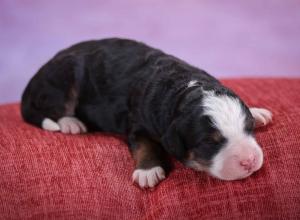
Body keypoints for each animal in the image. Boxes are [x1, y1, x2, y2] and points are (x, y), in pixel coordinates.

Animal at [22, 37, 274, 187]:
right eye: (209, 143)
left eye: (249, 128)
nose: (250, 160)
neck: (183, 87)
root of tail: (34, 79)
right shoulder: (137, 124)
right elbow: (144, 145)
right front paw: (148, 170)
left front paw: (257, 112)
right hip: (63, 79)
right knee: (53, 108)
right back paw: (71, 123)